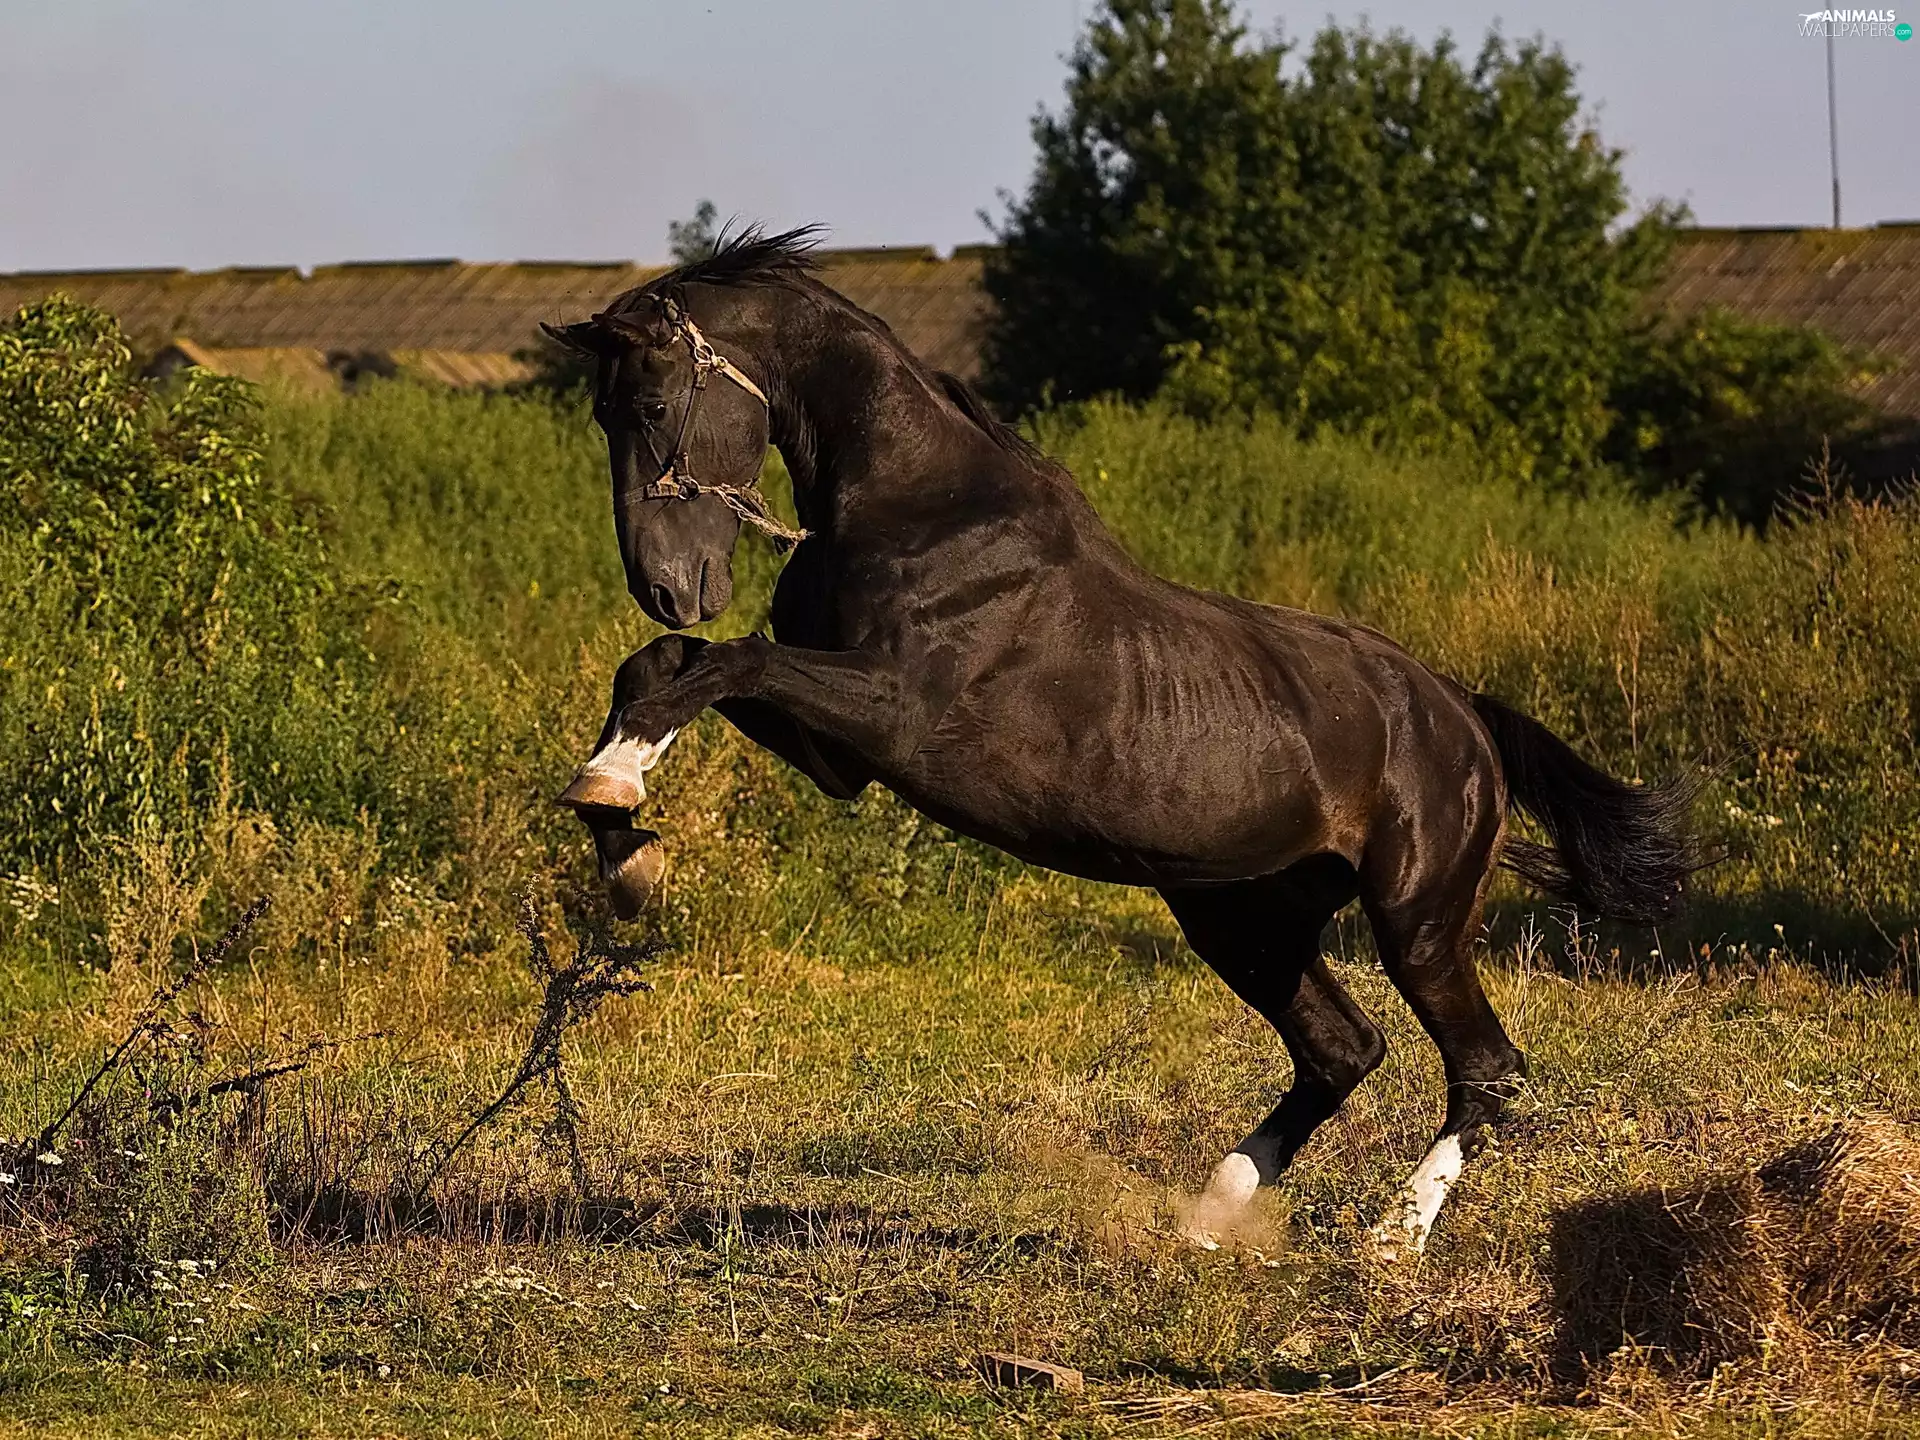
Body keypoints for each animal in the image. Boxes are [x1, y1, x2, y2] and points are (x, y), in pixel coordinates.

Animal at [541, 227, 1703, 1254]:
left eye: (652, 404)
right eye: (601, 413)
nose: (668, 584)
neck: (917, 507)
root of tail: (1464, 717)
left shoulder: (892, 716)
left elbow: (724, 663)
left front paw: (618, 809)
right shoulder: (842, 758)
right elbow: (664, 667)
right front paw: (621, 831)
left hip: (1415, 919)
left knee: (1485, 1066)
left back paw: (1391, 1237)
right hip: (1241, 918)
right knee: (1344, 1050)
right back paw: (1207, 1215)